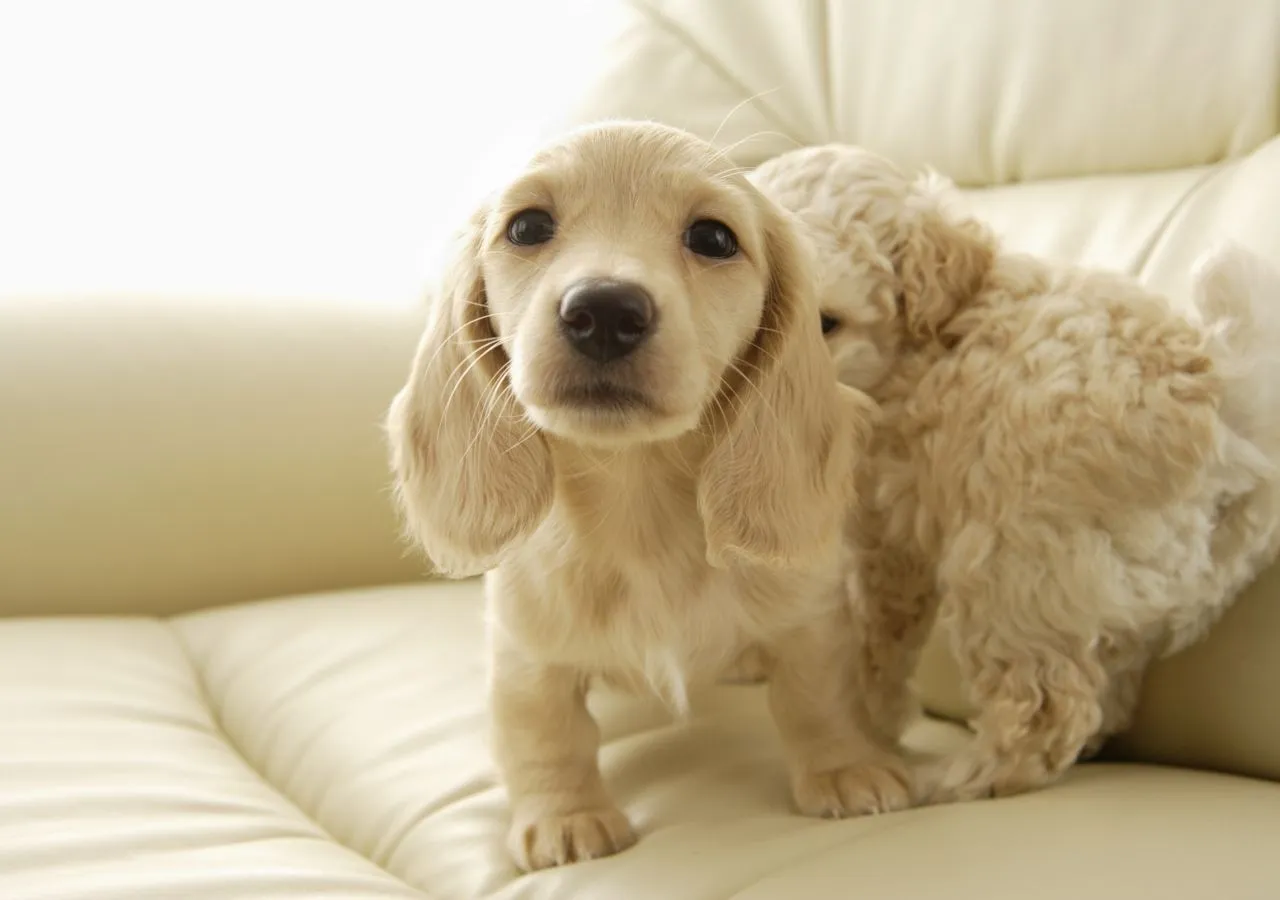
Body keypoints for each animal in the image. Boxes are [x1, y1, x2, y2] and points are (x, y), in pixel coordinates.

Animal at [384, 122, 896, 870]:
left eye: (713, 238)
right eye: (527, 227)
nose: (603, 310)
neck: (641, 504)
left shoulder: (812, 615)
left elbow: (816, 695)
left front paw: (844, 768)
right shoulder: (526, 655)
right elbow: (544, 735)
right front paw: (566, 815)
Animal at [747, 144, 1280, 803]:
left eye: (827, 324)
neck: (922, 347)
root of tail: (1225, 400)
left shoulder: (887, 536)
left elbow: (874, 636)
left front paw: (868, 725)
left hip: (1012, 562)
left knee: (1045, 709)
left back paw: (962, 776)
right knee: (1109, 679)